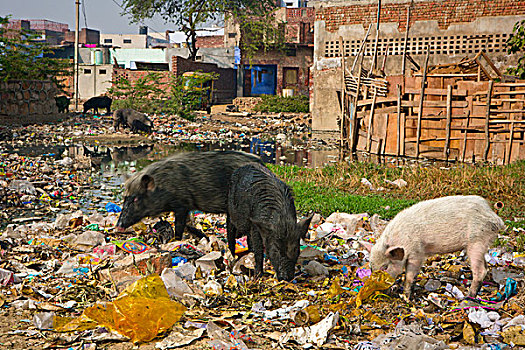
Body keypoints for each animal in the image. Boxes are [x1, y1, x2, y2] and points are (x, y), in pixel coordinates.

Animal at [115, 150, 262, 241]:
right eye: (125, 198)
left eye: (135, 198)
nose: (118, 226)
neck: (163, 187)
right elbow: (188, 223)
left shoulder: (182, 204)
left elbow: (179, 225)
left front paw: (177, 239)